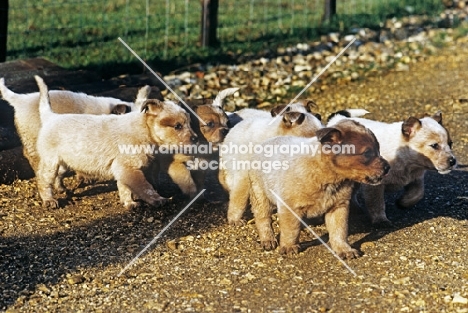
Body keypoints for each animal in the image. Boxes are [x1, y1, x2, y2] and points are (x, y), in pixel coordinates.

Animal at [249, 119, 392, 256]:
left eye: (378, 150)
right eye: (367, 153)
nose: (388, 167)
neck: (328, 177)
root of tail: (266, 142)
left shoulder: (338, 207)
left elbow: (339, 231)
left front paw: (344, 250)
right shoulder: (289, 207)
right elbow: (291, 230)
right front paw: (289, 247)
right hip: (260, 195)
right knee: (263, 219)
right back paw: (268, 240)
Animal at [328, 109, 456, 227]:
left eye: (450, 143)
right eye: (434, 145)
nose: (453, 161)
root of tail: (338, 118)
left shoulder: (416, 178)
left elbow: (419, 193)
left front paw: (403, 202)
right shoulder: (375, 186)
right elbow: (376, 203)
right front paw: (380, 221)